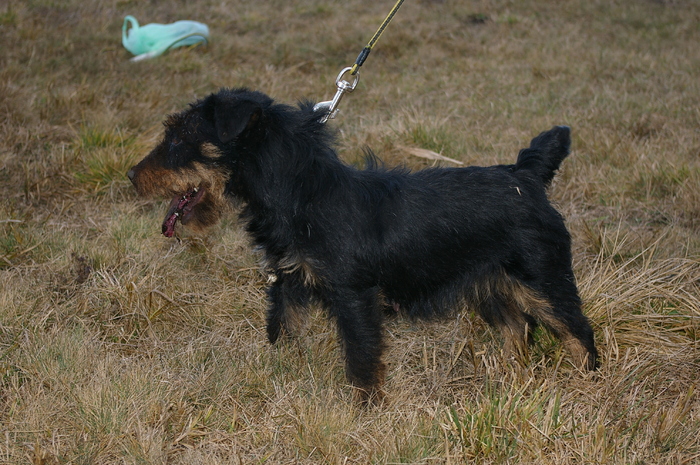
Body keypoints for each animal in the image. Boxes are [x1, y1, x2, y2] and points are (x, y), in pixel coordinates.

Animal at [126, 89, 596, 400]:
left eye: (177, 138)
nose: (130, 175)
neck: (301, 193)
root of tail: (526, 175)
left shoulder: (354, 297)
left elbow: (362, 358)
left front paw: (365, 409)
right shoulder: (288, 284)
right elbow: (283, 332)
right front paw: (281, 375)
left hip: (543, 280)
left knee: (578, 332)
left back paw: (586, 383)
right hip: (489, 284)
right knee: (517, 329)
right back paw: (513, 382)